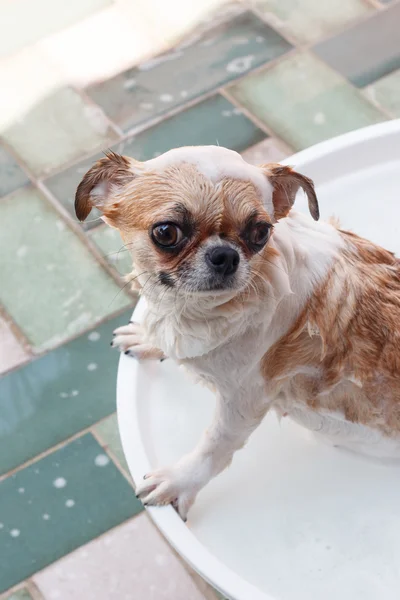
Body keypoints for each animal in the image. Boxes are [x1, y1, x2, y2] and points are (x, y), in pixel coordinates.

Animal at [75, 146, 400, 520]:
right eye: (166, 232)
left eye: (260, 233)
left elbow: (214, 446)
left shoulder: (243, 400)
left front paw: (180, 481)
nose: (224, 254)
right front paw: (148, 337)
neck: (201, 311)